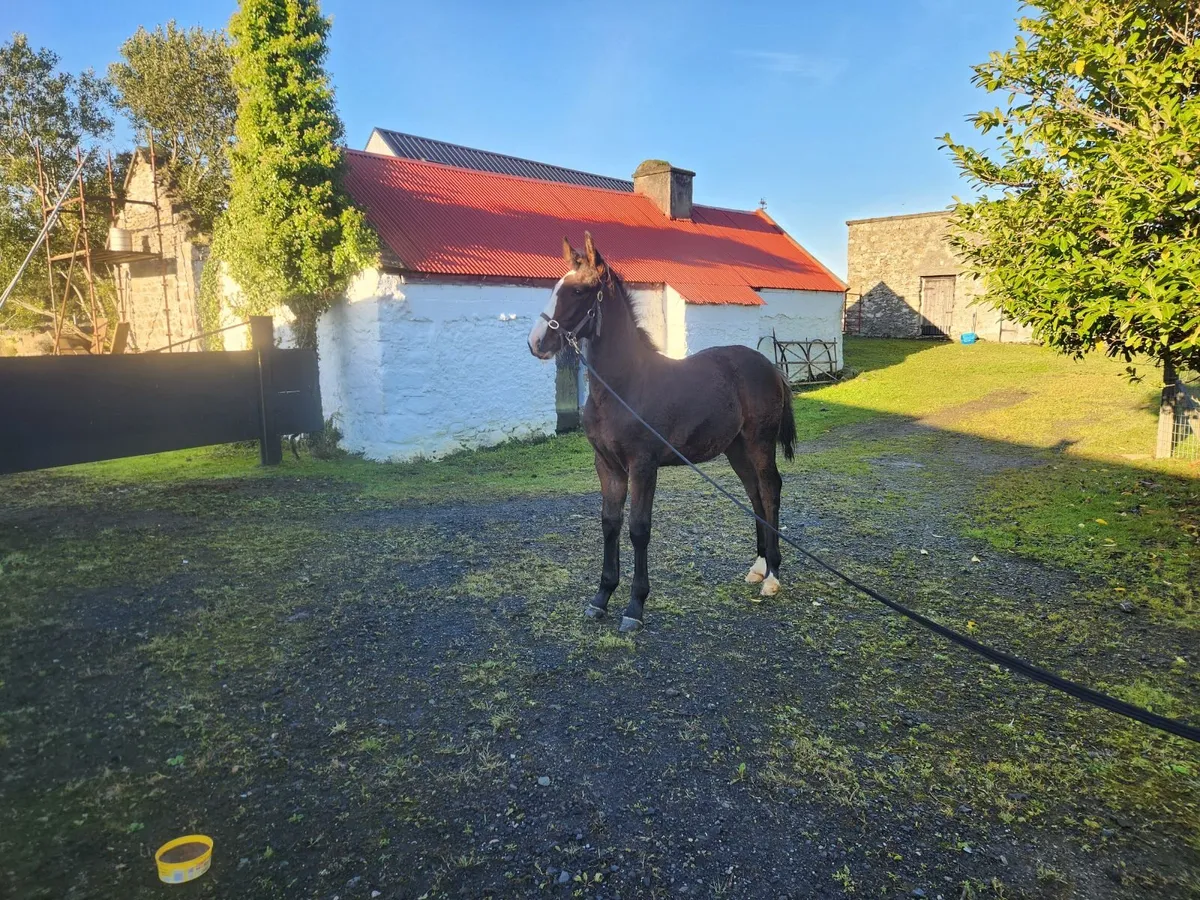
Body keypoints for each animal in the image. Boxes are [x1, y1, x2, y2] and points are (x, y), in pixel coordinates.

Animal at [528, 233, 797, 633]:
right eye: (555, 287)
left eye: (577, 291)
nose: (536, 342)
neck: (622, 387)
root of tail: (771, 366)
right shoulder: (607, 465)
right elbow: (610, 523)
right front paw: (601, 597)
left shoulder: (643, 464)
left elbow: (639, 528)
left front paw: (634, 607)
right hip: (735, 448)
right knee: (754, 495)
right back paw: (759, 566)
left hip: (759, 442)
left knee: (770, 490)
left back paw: (773, 576)